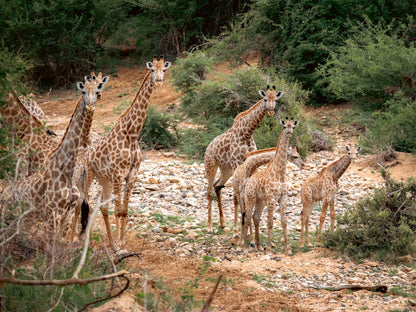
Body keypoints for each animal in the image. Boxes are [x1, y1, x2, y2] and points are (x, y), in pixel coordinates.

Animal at [9, 79, 105, 240]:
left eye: (98, 92)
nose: (90, 106)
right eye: (83, 92)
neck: (66, 170)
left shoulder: (67, 212)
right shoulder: (53, 212)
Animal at [83, 55, 171, 246]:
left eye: (164, 69)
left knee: (102, 207)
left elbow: (124, 211)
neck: (132, 133)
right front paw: (118, 244)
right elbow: (118, 211)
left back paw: (104, 240)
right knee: (83, 202)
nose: (159, 81)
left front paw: (121, 242)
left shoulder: (131, 176)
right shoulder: (118, 175)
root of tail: (86, 151)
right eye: (152, 69)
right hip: (89, 175)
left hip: (104, 179)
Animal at [204, 86, 282, 233]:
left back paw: (222, 223)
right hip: (211, 164)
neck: (247, 132)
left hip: (226, 170)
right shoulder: (236, 164)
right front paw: (236, 230)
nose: (270, 110)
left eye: (276, 99)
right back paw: (210, 226)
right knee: (209, 192)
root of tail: (209, 145)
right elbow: (236, 198)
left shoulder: (251, 165)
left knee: (217, 186)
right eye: (264, 99)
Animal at [237, 118, 300, 255]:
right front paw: (269, 248)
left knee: (255, 217)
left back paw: (258, 246)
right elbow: (270, 223)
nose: (289, 133)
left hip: (260, 200)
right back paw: (244, 247)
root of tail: (250, 179)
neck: (280, 172)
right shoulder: (272, 198)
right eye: (284, 126)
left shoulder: (283, 198)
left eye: (293, 127)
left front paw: (288, 249)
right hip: (249, 197)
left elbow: (284, 222)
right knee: (247, 218)